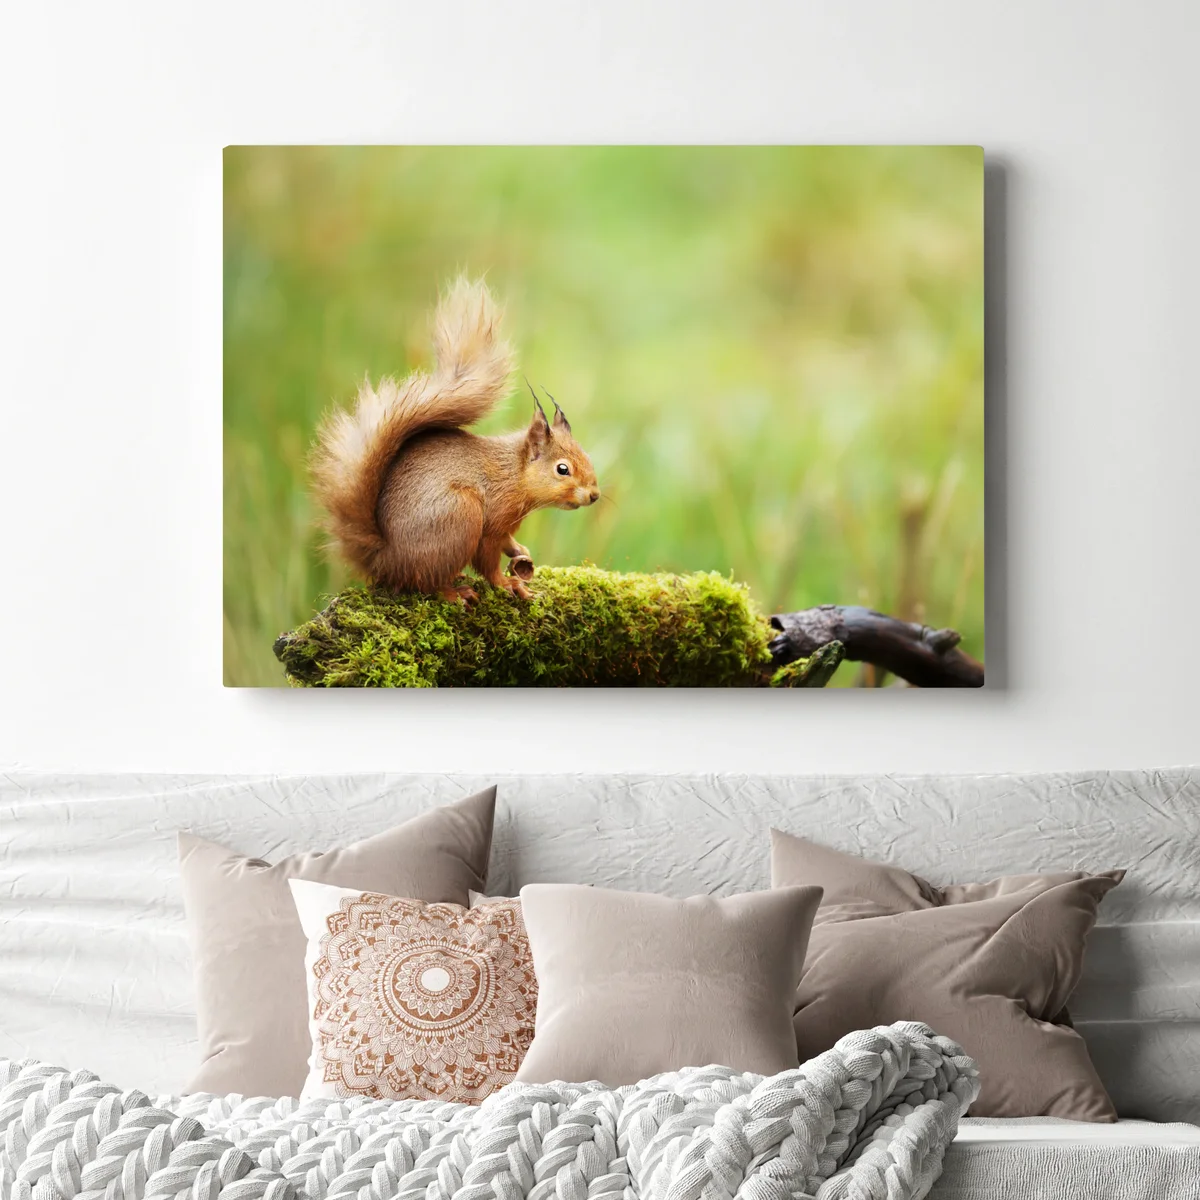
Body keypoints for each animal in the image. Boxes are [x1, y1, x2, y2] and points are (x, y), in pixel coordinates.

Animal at [311, 278, 600, 603]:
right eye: (562, 469)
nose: (594, 495)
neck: (514, 474)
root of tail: (385, 560)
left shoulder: (505, 525)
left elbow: (507, 542)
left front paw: (520, 551)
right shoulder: (492, 521)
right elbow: (488, 559)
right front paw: (507, 583)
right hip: (460, 516)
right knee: (424, 582)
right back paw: (454, 592)